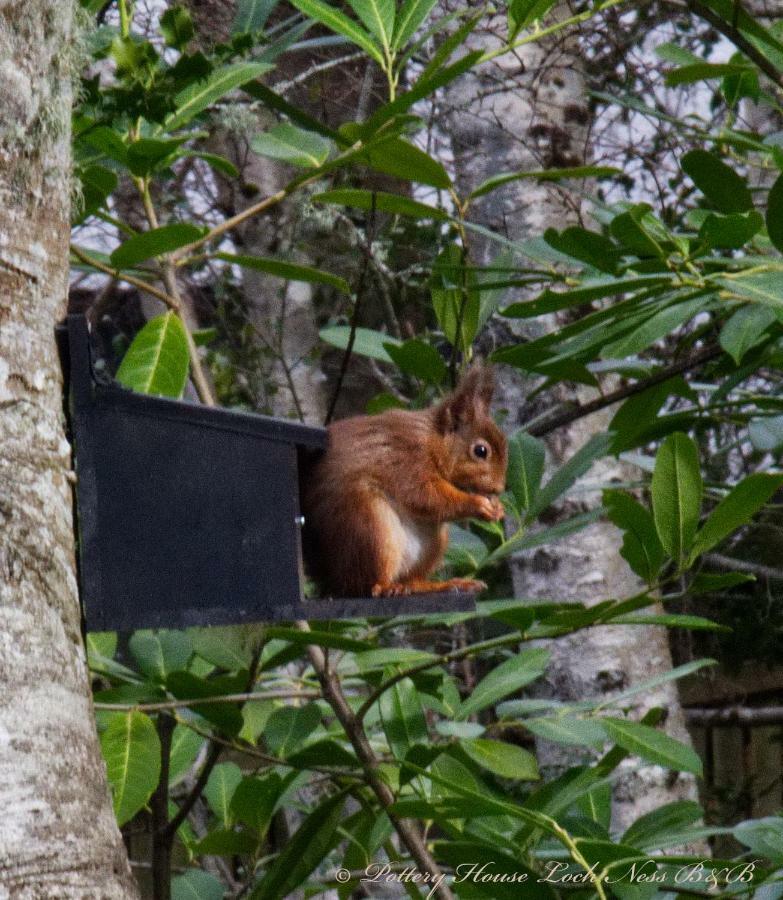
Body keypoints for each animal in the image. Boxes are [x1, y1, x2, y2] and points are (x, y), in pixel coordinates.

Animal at [300, 366, 508, 596]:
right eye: (480, 451)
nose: (499, 488)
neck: (431, 441)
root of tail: (333, 582)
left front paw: (498, 508)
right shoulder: (407, 460)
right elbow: (425, 496)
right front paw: (478, 504)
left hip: (433, 541)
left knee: (413, 580)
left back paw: (443, 584)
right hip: (369, 526)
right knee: (367, 585)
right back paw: (387, 587)